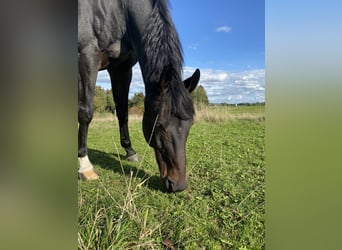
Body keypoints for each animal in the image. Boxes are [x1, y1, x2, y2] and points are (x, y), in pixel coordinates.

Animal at [77, 0, 200, 193]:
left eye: (190, 124)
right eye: (159, 125)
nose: (178, 185)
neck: (118, 10)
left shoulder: (121, 68)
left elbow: (122, 112)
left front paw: (130, 152)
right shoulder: (87, 57)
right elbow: (86, 112)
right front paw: (85, 167)